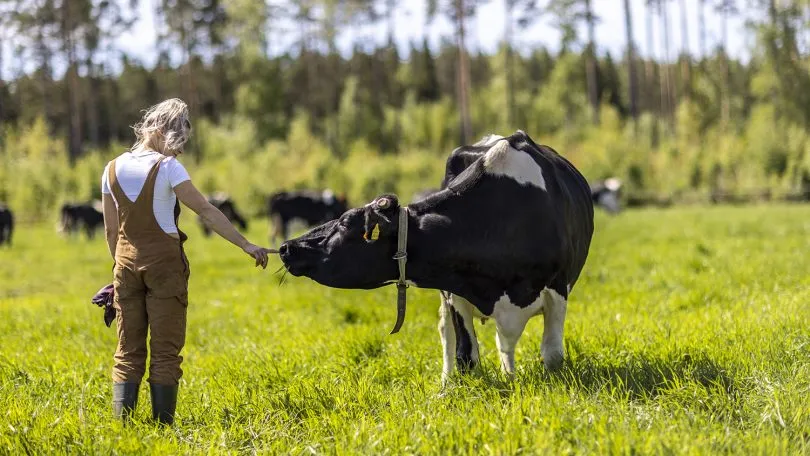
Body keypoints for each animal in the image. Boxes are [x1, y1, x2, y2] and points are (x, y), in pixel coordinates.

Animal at [280, 131, 592, 382]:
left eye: (345, 222)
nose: (287, 247)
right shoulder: (456, 289)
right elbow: (466, 356)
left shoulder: (557, 289)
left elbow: (552, 354)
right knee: (449, 334)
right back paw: (447, 382)